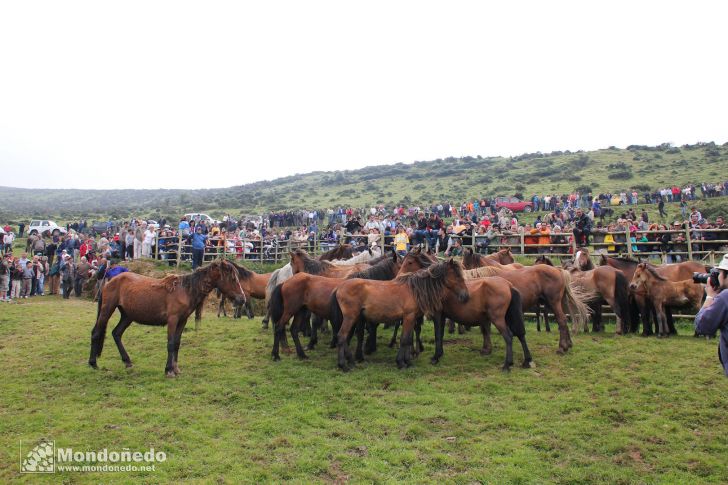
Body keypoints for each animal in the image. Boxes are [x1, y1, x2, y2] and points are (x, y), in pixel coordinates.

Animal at [88, 260, 246, 376]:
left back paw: (127, 361)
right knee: (96, 332)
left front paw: (175, 368)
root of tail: (109, 282)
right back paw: (93, 363)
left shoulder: (182, 321)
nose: (242, 299)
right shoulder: (172, 320)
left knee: (116, 333)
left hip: (127, 316)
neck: (185, 289)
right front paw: (169, 370)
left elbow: (176, 343)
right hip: (107, 310)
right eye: (233, 278)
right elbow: (170, 343)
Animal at [328, 260, 470, 370]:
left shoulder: (411, 319)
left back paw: (351, 361)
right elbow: (405, 339)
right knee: (342, 336)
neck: (414, 290)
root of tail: (339, 287)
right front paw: (401, 363)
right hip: (350, 317)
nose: (466, 296)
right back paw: (344, 365)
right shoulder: (408, 317)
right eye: (457, 276)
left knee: (345, 337)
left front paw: (408, 361)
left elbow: (408, 339)